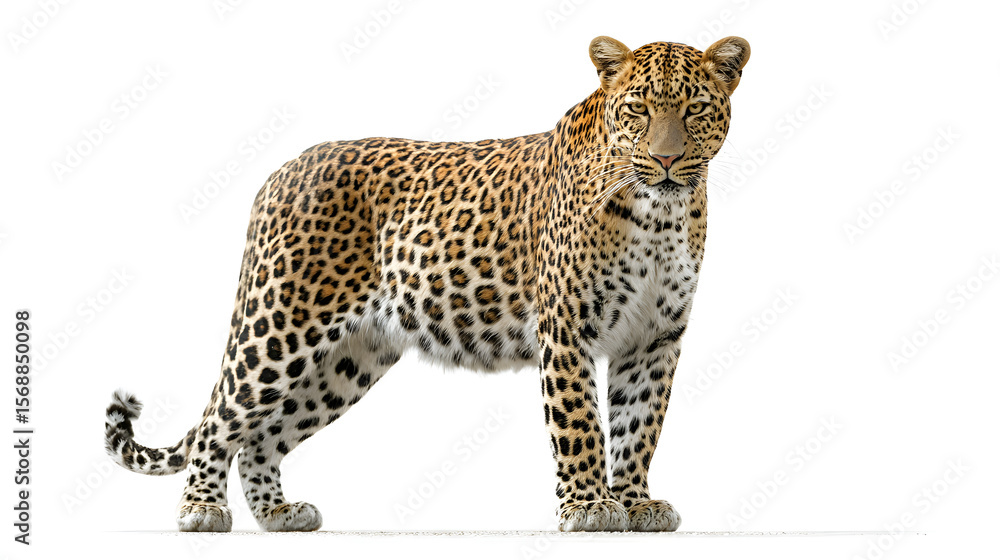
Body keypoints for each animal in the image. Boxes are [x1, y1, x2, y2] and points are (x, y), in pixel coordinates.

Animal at [104, 35, 749, 533]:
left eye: (695, 109)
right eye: (638, 110)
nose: (666, 161)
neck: (661, 215)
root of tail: (281, 171)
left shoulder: (655, 338)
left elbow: (638, 426)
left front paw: (636, 504)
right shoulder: (567, 329)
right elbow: (581, 425)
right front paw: (590, 508)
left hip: (348, 359)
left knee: (262, 438)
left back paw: (279, 515)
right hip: (280, 326)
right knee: (219, 422)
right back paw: (201, 511)